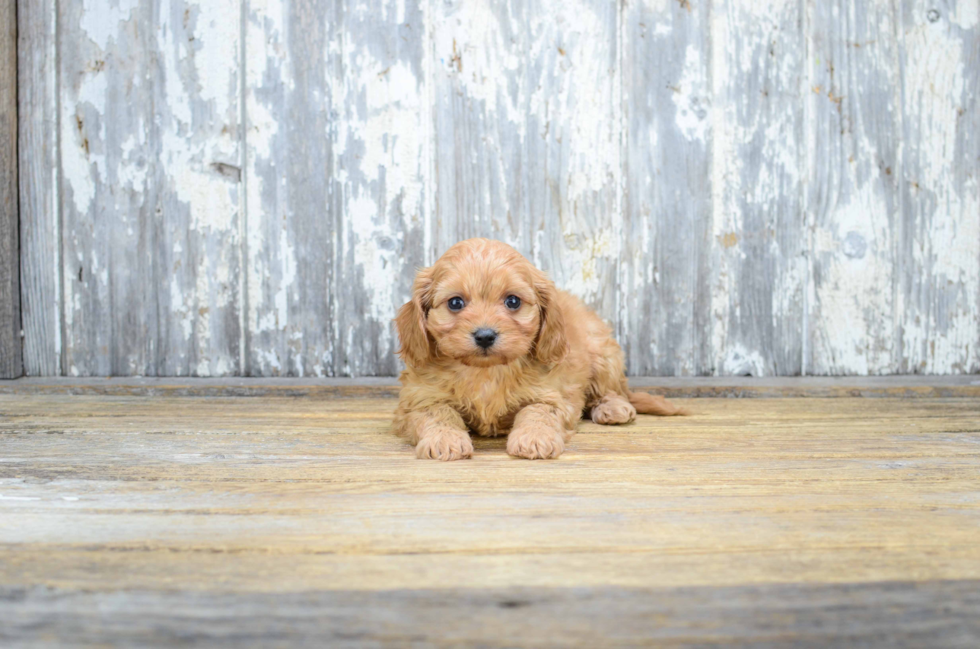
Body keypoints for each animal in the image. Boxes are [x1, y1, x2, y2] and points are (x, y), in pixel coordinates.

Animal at [394, 239, 684, 460]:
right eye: (455, 303)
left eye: (512, 301)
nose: (485, 336)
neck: (486, 372)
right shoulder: (419, 399)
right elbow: (438, 414)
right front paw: (445, 440)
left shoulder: (552, 395)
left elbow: (536, 412)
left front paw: (533, 438)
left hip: (604, 354)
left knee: (613, 390)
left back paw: (613, 408)